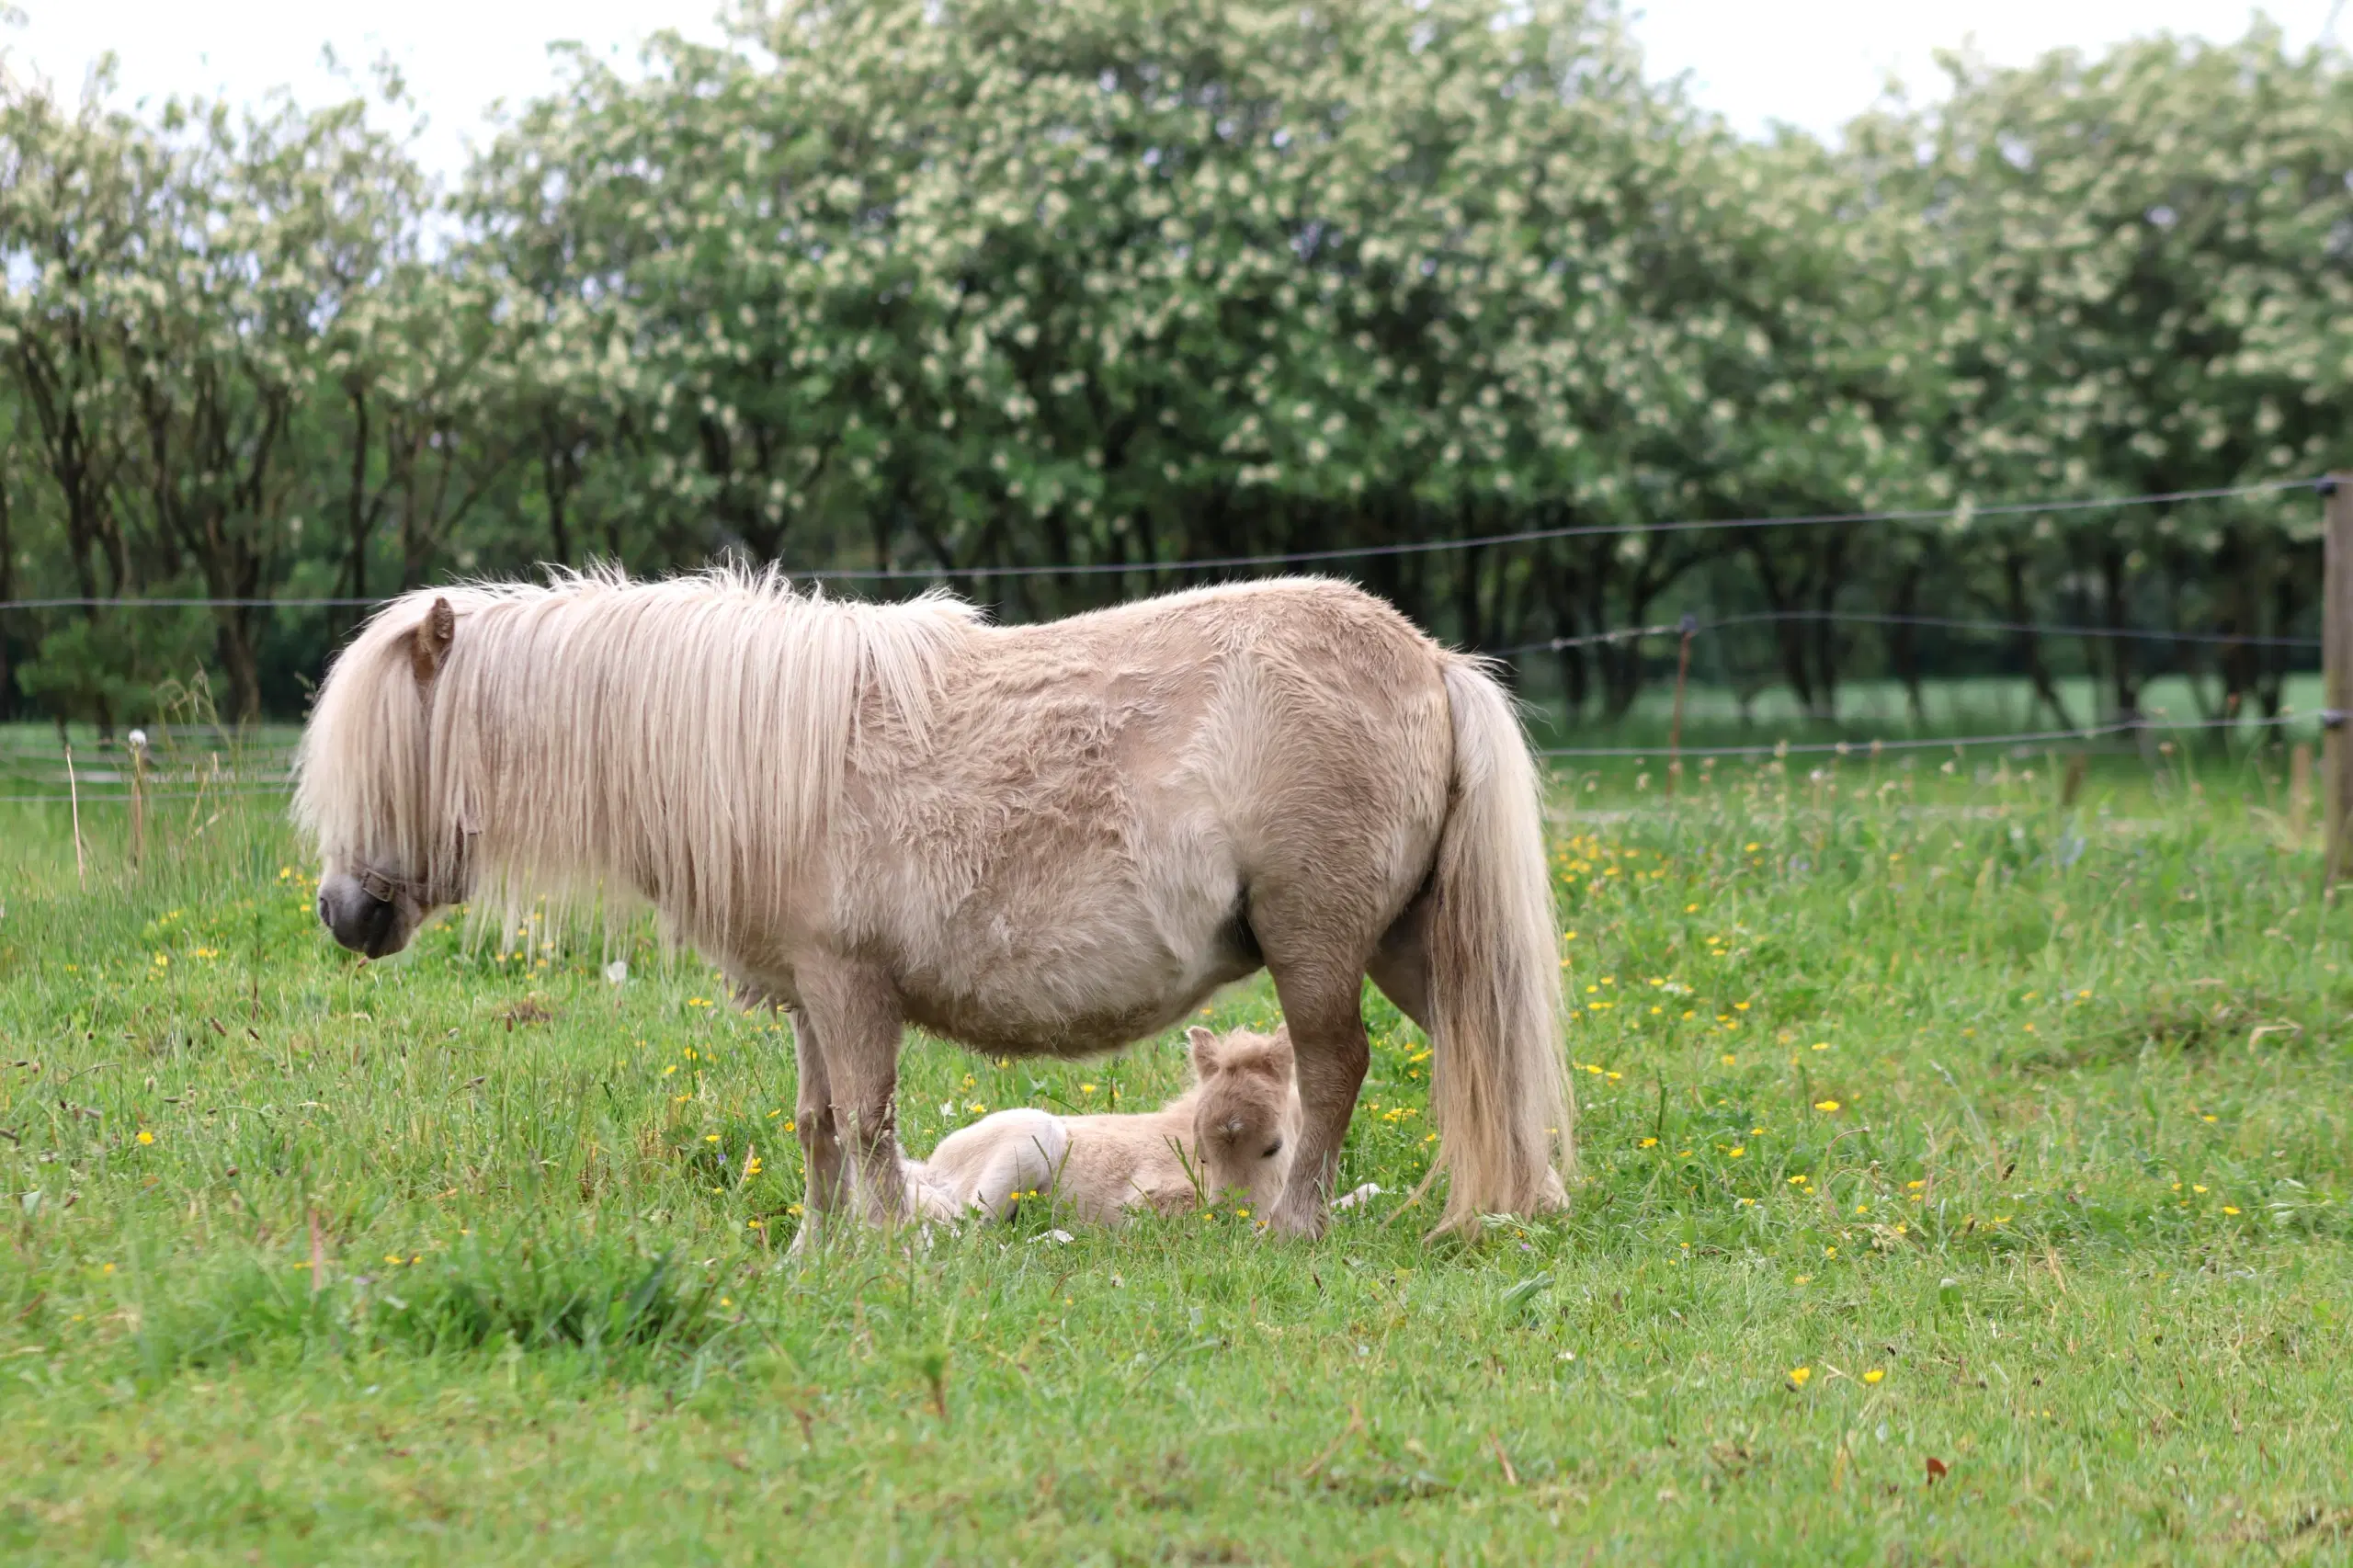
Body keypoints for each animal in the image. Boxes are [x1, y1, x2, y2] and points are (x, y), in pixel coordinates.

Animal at [904, 1021, 1308, 1224]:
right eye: (1203, 1154)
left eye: (1274, 1147)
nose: (1230, 1223)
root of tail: (934, 1166)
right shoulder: (1146, 1196)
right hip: (1027, 1141)